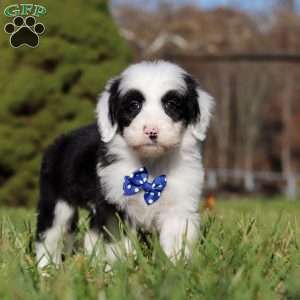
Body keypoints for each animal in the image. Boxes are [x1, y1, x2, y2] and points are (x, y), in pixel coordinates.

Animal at [34, 60, 213, 268]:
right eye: (134, 105)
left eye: (172, 104)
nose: (151, 131)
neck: (150, 167)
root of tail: (57, 143)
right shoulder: (115, 204)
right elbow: (120, 244)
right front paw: (123, 269)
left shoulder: (179, 207)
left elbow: (176, 242)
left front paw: (174, 268)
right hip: (57, 202)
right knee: (49, 235)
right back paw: (46, 268)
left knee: (91, 234)